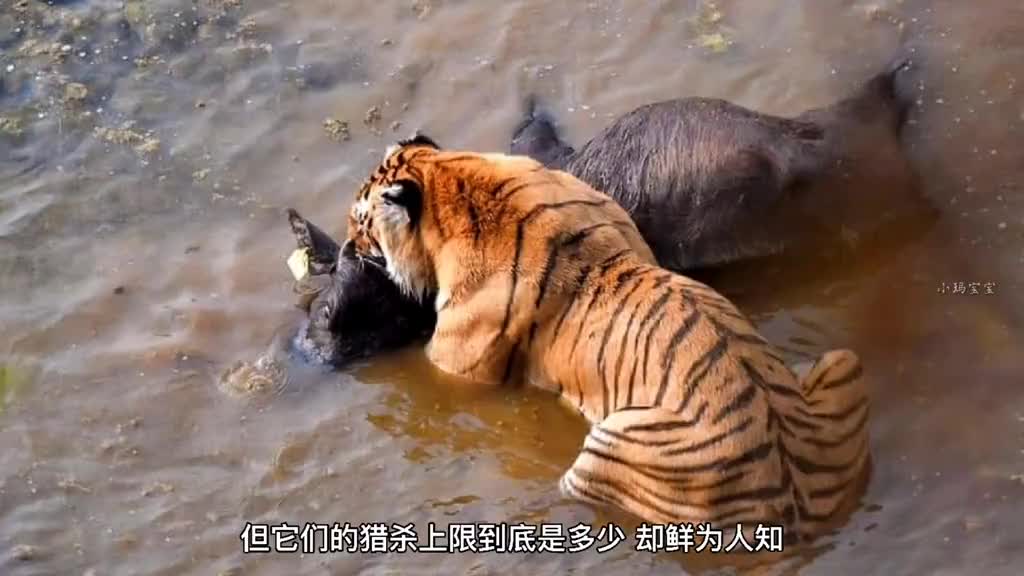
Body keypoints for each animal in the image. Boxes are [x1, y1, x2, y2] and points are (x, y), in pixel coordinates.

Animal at [345, 134, 871, 541]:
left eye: (360, 222)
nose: (348, 246)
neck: (453, 178)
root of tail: (798, 499)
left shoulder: (457, 363)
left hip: (609, 443)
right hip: (841, 362)